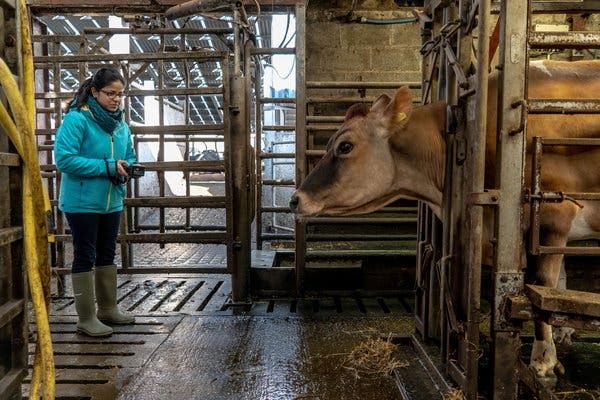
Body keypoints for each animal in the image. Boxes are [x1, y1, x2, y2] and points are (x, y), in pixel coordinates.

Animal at [290, 58, 600, 378]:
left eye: (345, 146)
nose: (295, 199)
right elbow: (557, 281)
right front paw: (560, 339)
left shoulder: (554, 211)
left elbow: (543, 282)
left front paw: (542, 359)